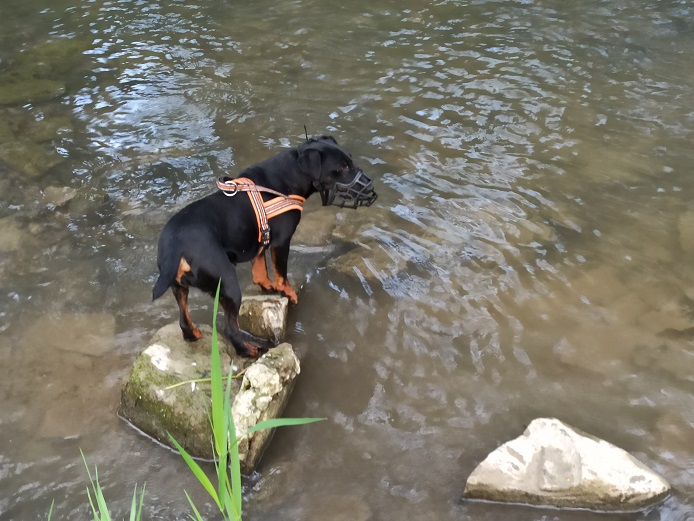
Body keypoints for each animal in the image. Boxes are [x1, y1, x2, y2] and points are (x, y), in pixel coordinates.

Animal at [154, 135, 378, 358]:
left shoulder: (261, 240)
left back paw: (194, 335)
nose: (369, 187)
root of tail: (175, 246)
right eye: (341, 167)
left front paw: (266, 286)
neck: (285, 180)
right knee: (230, 329)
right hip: (228, 283)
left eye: (350, 159)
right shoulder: (281, 242)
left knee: (184, 320)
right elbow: (281, 275)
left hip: (179, 288)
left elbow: (260, 270)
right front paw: (288, 293)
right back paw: (249, 350)